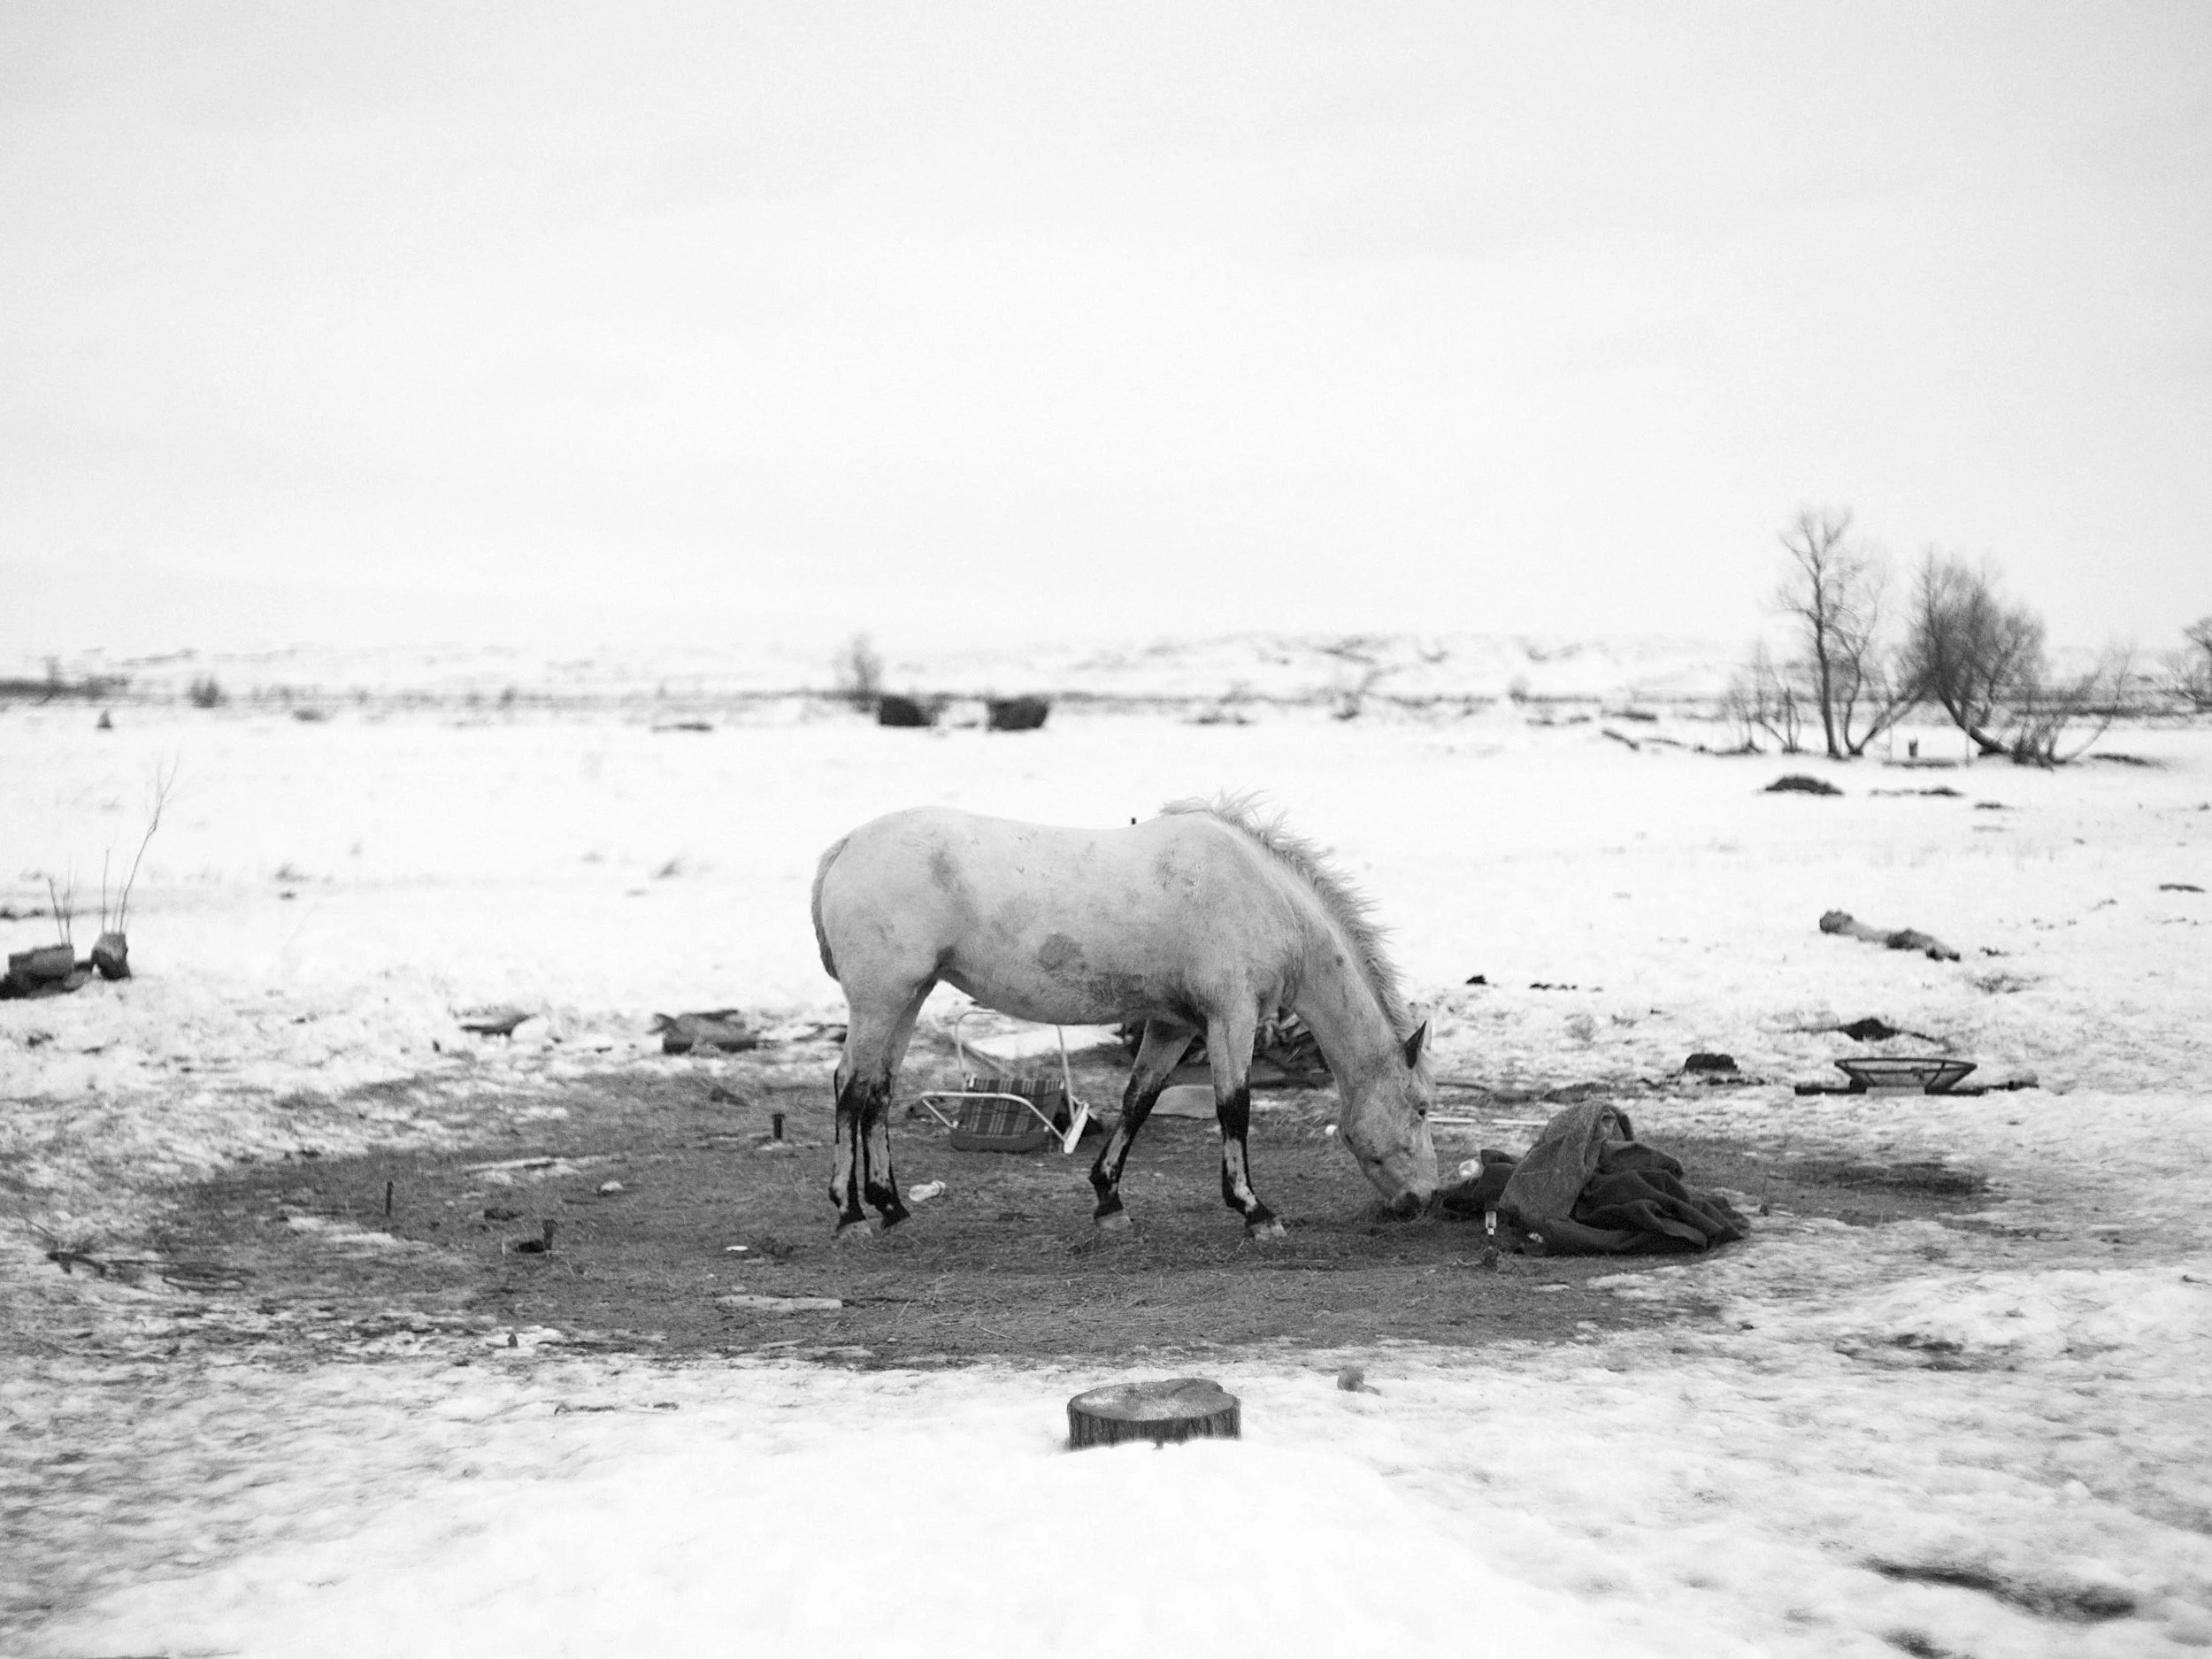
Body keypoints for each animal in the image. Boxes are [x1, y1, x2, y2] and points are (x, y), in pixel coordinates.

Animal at [809, 795, 1439, 1239]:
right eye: (1422, 1107)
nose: (1424, 1199)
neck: (1266, 899)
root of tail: (845, 845)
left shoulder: (1174, 1025)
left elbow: (1139, 1100)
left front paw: (1108, 1201)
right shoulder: (1231, 1018)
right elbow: (1234, 1109)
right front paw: (1255, 1211)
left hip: (907, 998)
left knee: (878, 1091)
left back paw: (891, 1206)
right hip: (880, 1002)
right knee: (850, 1088)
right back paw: (851, 1215)